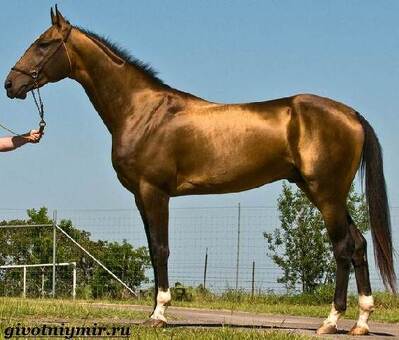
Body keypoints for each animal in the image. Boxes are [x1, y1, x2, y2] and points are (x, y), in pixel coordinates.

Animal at [3, 7, 396, 334]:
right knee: (358, 244)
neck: (143, 112)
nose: (10, 84)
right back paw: (361, 322)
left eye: (43, 44)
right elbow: (153, 250)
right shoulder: (140, 197)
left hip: (326, 194)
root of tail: (351, 114)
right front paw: (154, 312)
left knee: (343, 247)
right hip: (326, 194)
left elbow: (161, 249)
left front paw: (159, 315)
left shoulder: (154, 191)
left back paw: (330, 321)